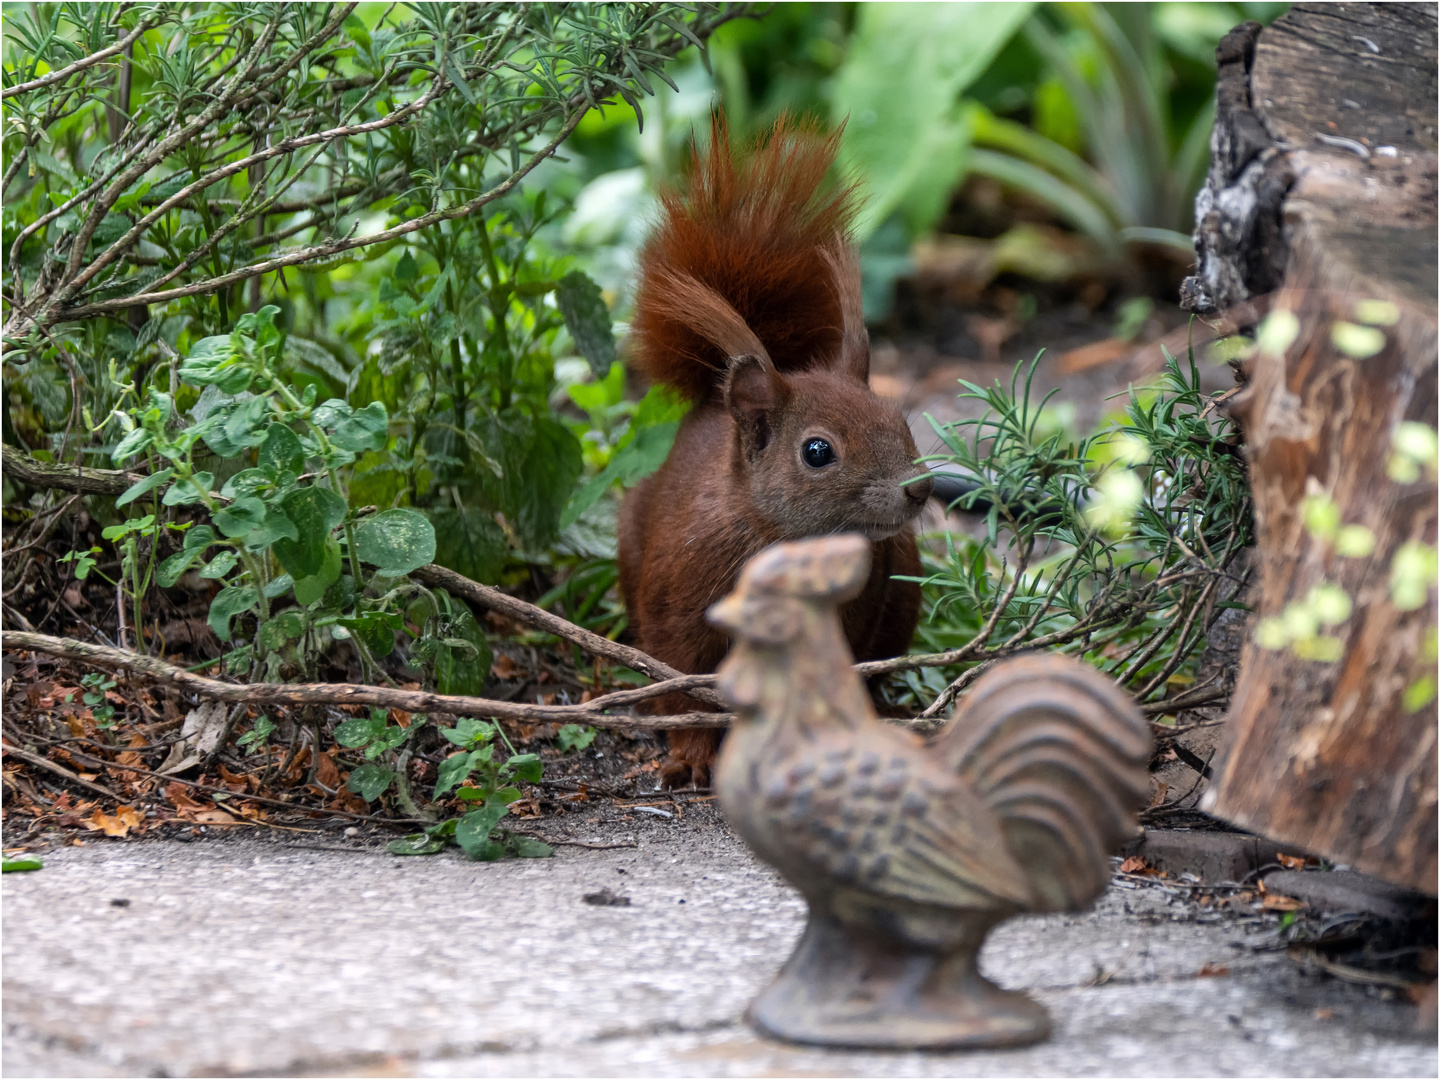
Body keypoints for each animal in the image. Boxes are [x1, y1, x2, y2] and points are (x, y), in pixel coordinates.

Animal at [610, 118, 927, 789]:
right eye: (817, 451)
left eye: (900, 422)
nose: (920, 489)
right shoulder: (679, 609)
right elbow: (685, 684)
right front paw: (690, 756)